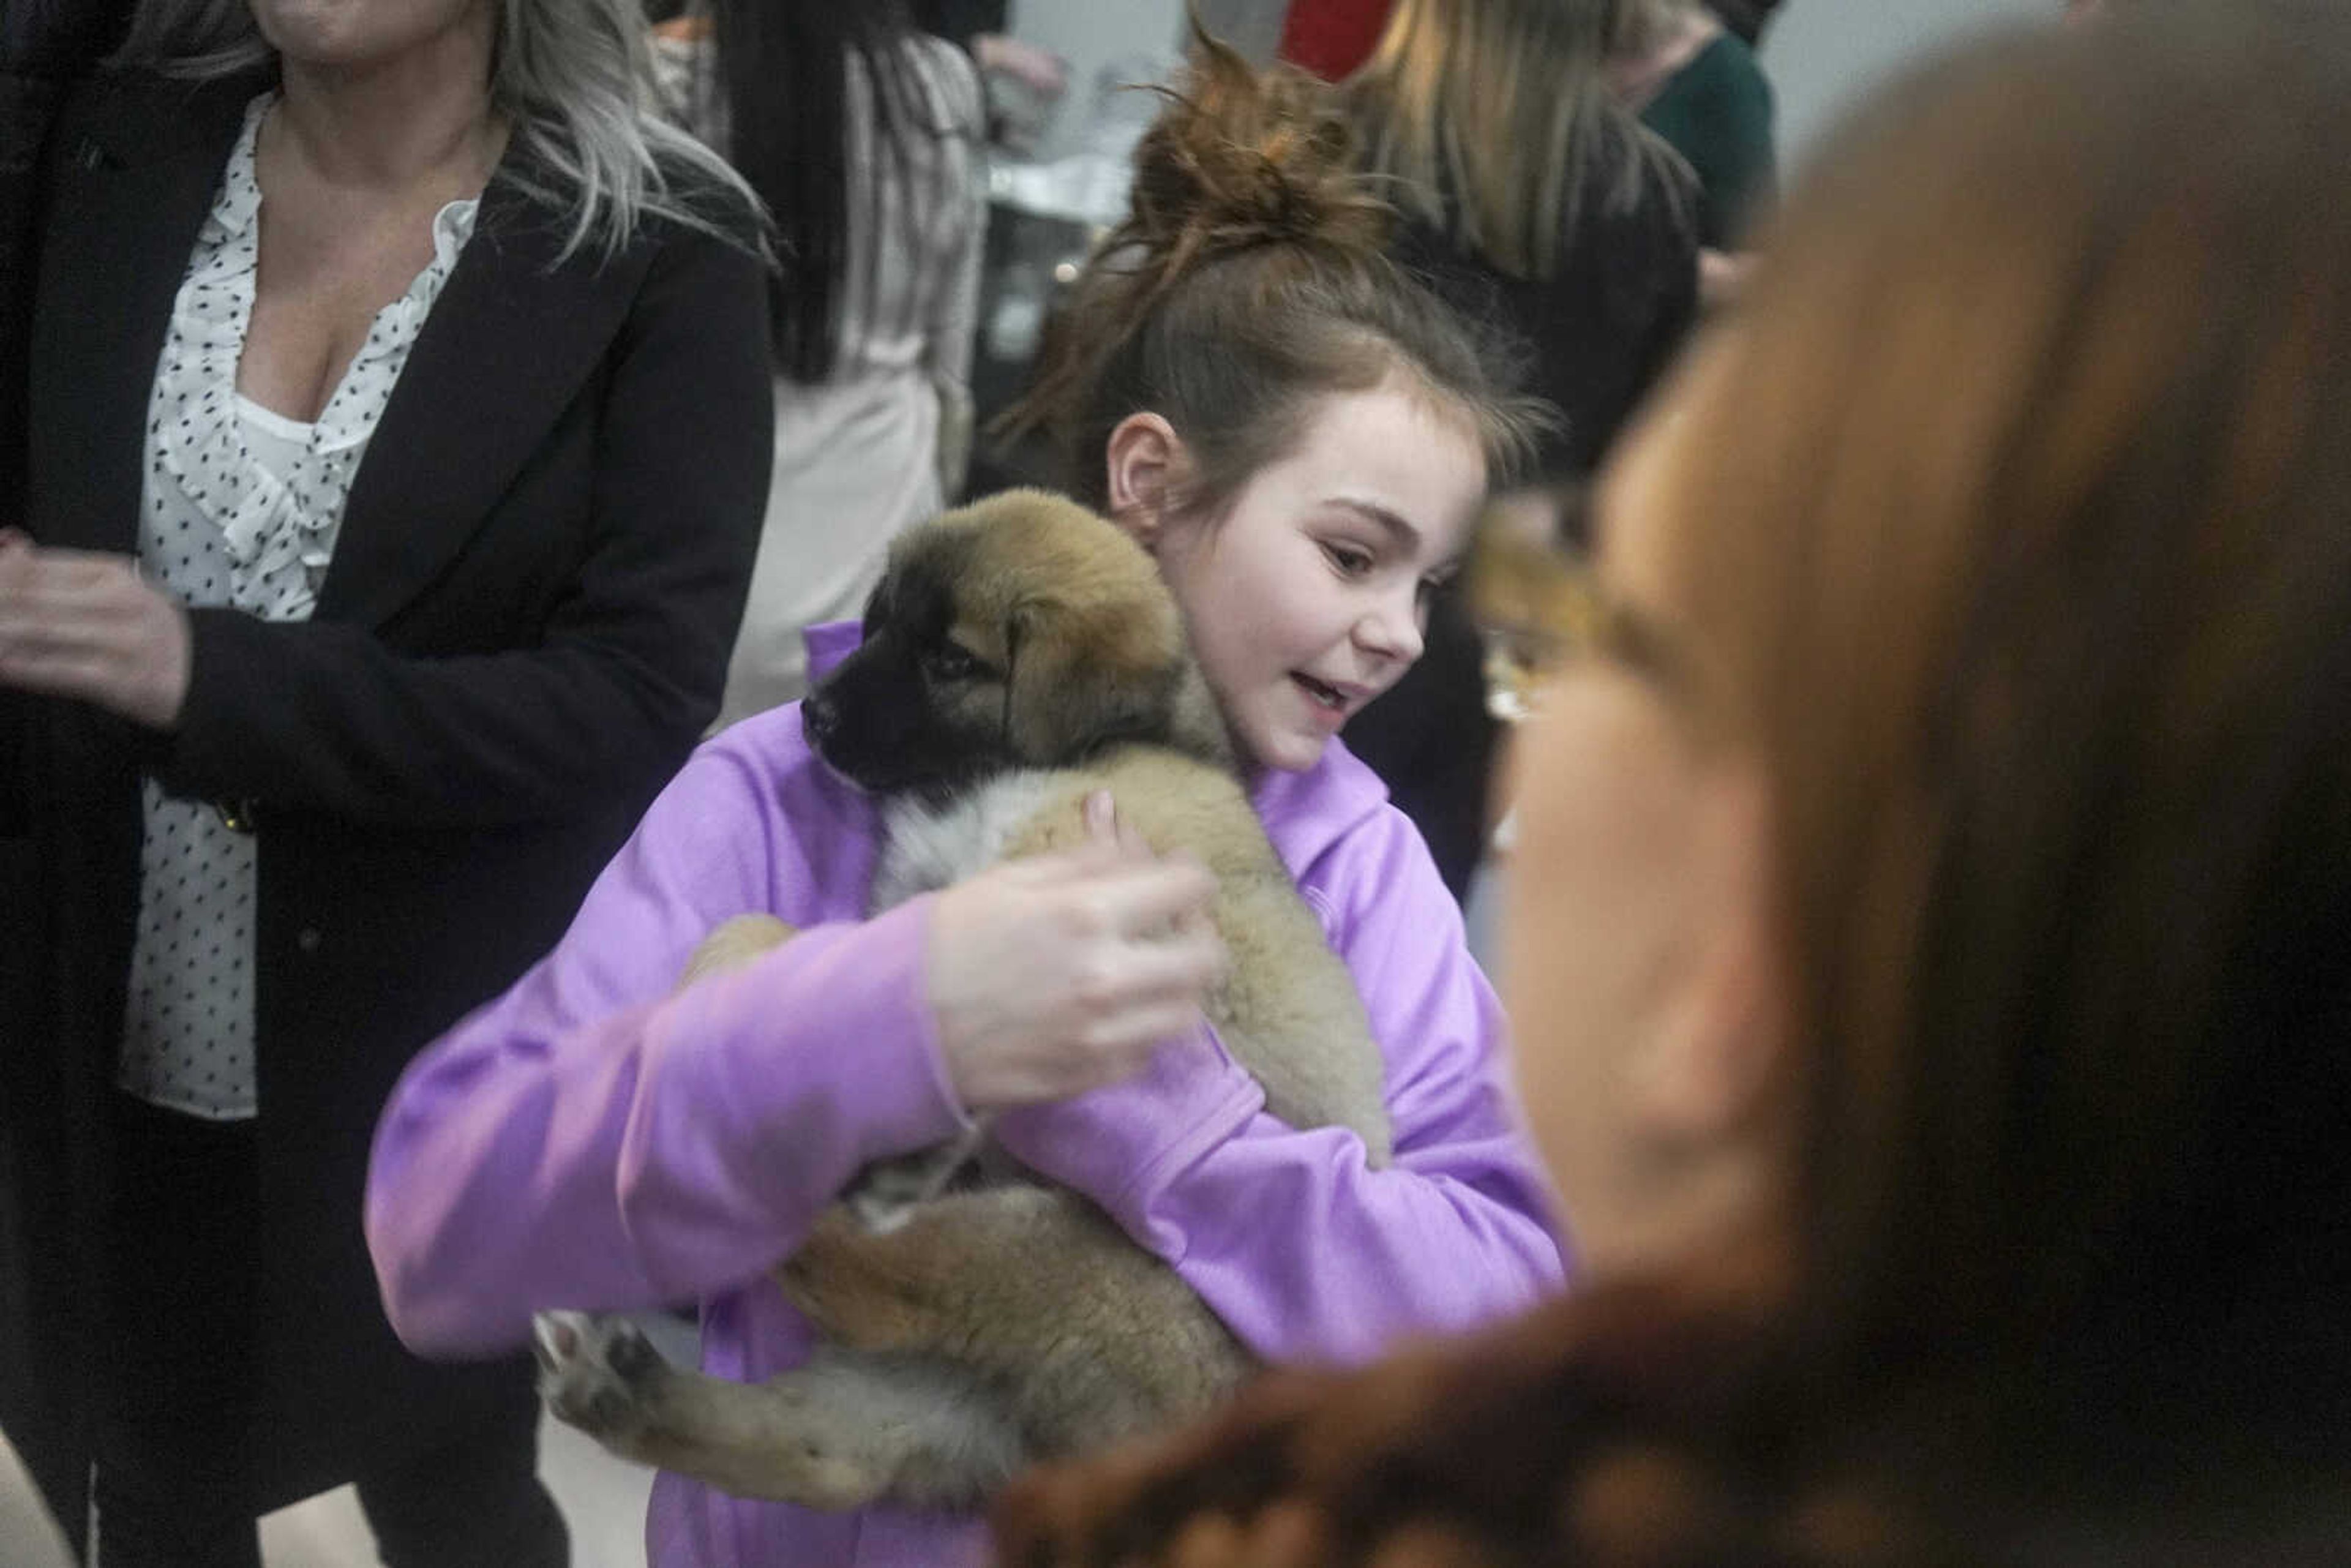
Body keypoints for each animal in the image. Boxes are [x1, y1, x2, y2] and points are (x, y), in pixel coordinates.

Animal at [541, 496, 1382, 1514]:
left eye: (951, 662)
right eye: (879, 624)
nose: (816, 715)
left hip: (1065, 1265)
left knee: (880, 1277)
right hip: (920, 1399)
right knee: (825, 1452)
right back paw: (618, 1381)